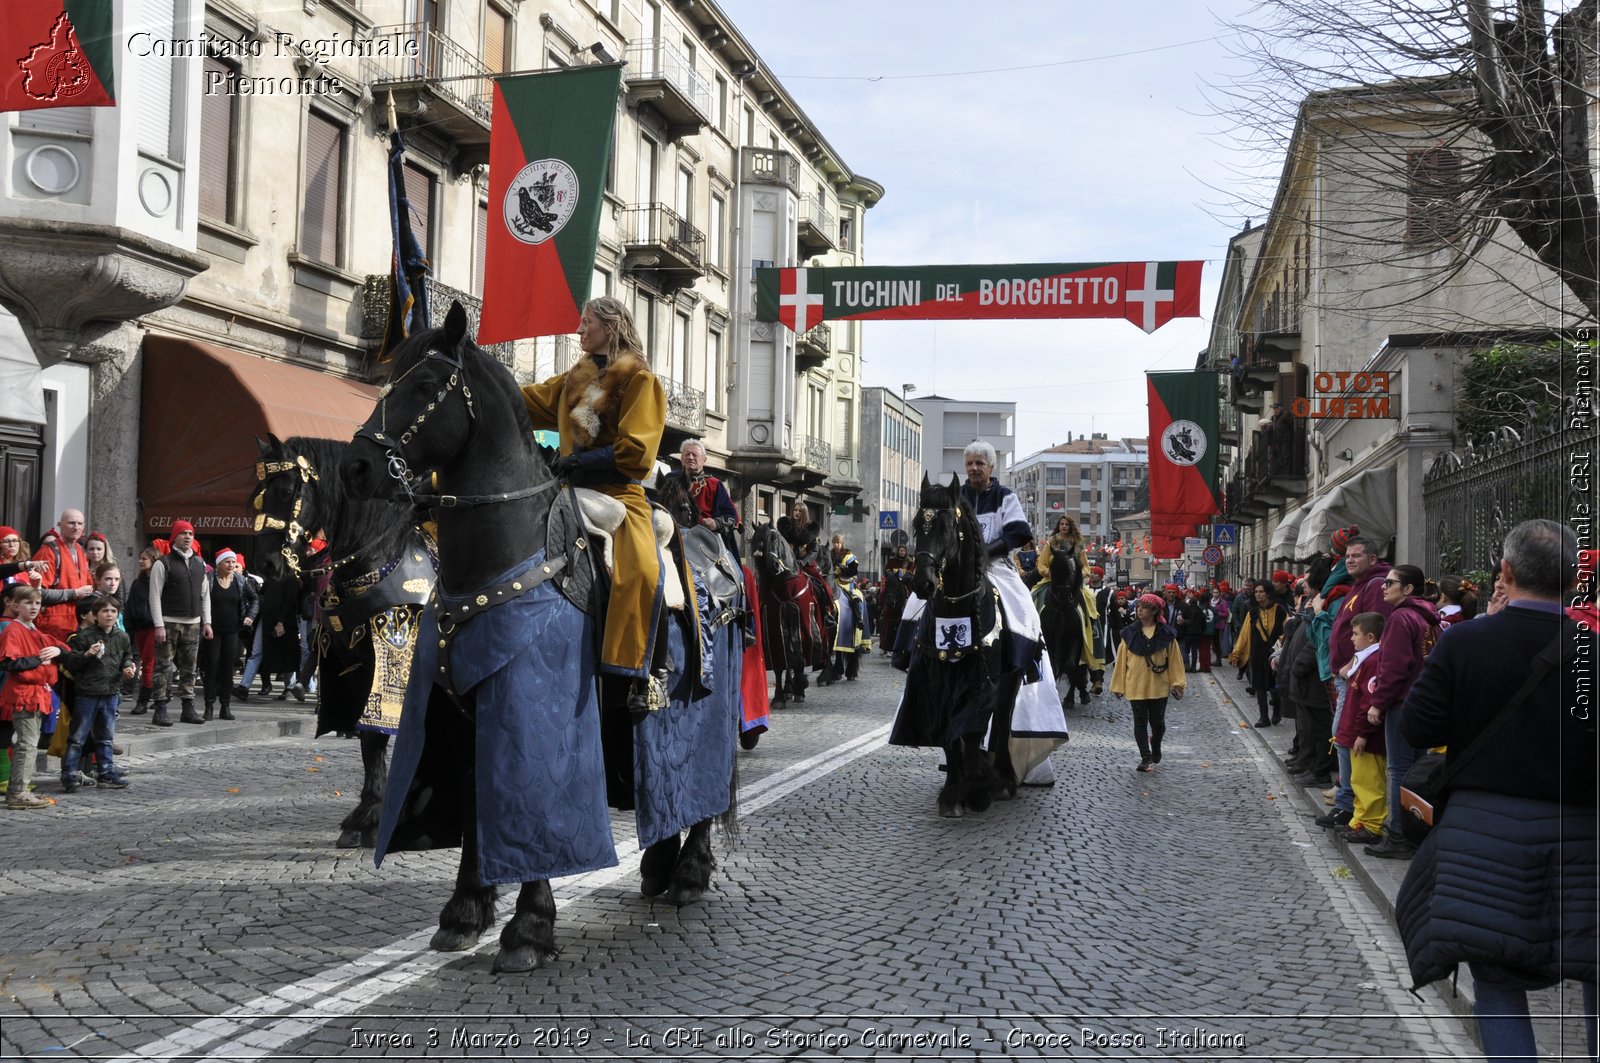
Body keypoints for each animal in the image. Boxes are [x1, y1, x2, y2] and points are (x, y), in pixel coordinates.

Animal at [246, 432, 432, 845]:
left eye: (286, 490)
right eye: (257, 494)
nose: (263, 563)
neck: (377, 560)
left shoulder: (394, 666)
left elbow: (381, 734)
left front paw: (376, 818)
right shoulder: (358, 668)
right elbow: (368, 741)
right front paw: (367, 814)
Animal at [347, 300, 732, 973]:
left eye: (426, 385)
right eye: (388, 381)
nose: (357, 466)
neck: (503, 555)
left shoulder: (531, 710)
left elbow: (533, 803)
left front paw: (528, 927)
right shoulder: (468, 712)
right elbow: (479, 803)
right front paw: (466, 911)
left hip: (705, 719)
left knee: (703, 791)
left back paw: (688, 872)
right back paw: (658, 863)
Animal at [889, 473, 1011, 813]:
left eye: (946, 527)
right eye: (918, 523)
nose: (923, 583)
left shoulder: (981, 687)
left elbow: (970, 734)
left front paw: (978, 787)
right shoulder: (933, 687)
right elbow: (948, 739)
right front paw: (953, 794)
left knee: (1002, 725)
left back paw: (1002, 781)